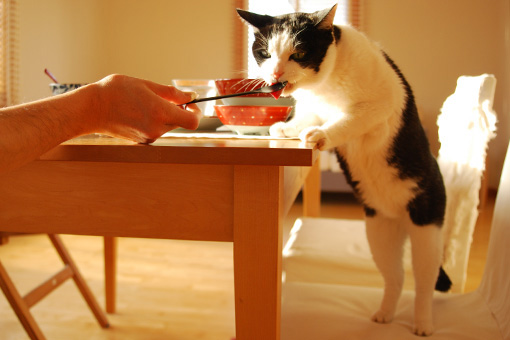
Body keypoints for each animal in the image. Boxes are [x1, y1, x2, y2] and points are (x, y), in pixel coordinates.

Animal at [239, 3, 454, 338]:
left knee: (423, 283)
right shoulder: (312, 107)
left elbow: (346, 121)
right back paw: (384, 315)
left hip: (427, 231)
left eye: (299, 54)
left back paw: (422, 323)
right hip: (379, 235)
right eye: (265, 53)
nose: (274, 75)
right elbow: (306, 116)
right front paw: (287, 129)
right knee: (395, 278)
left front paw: (319, 134)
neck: (322, 88)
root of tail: (401, 219)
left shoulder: (378, 104)